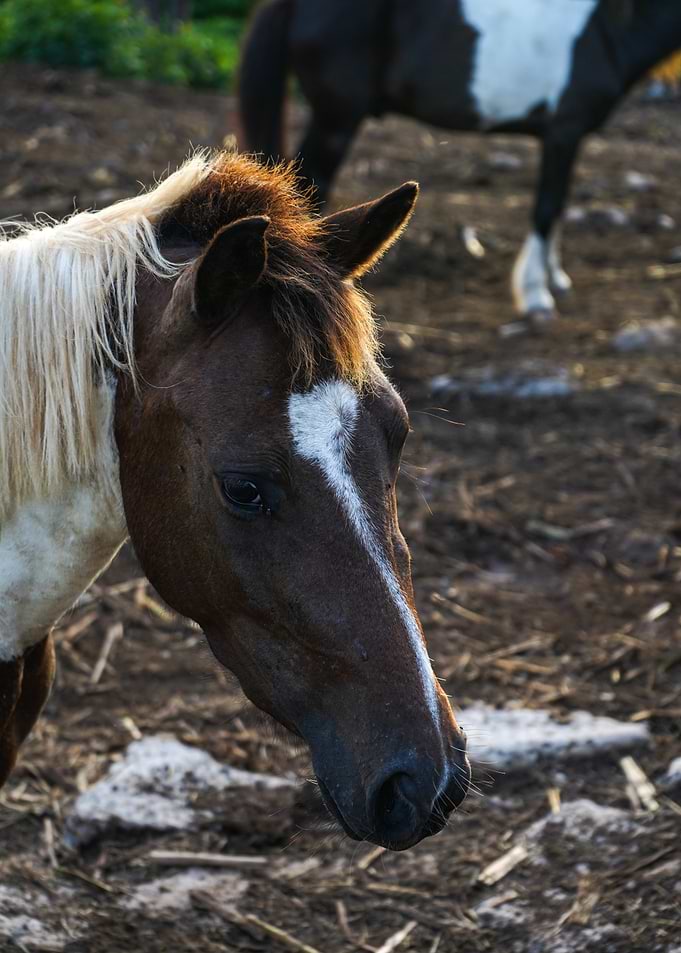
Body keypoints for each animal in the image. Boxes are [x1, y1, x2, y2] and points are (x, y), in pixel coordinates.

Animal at [238, 0, 681, 320]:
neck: (606, 28)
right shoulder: (563, 133)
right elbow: (547, 207)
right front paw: (535, 295)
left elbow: (557, 209)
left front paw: (555, 278)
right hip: (337, 119)